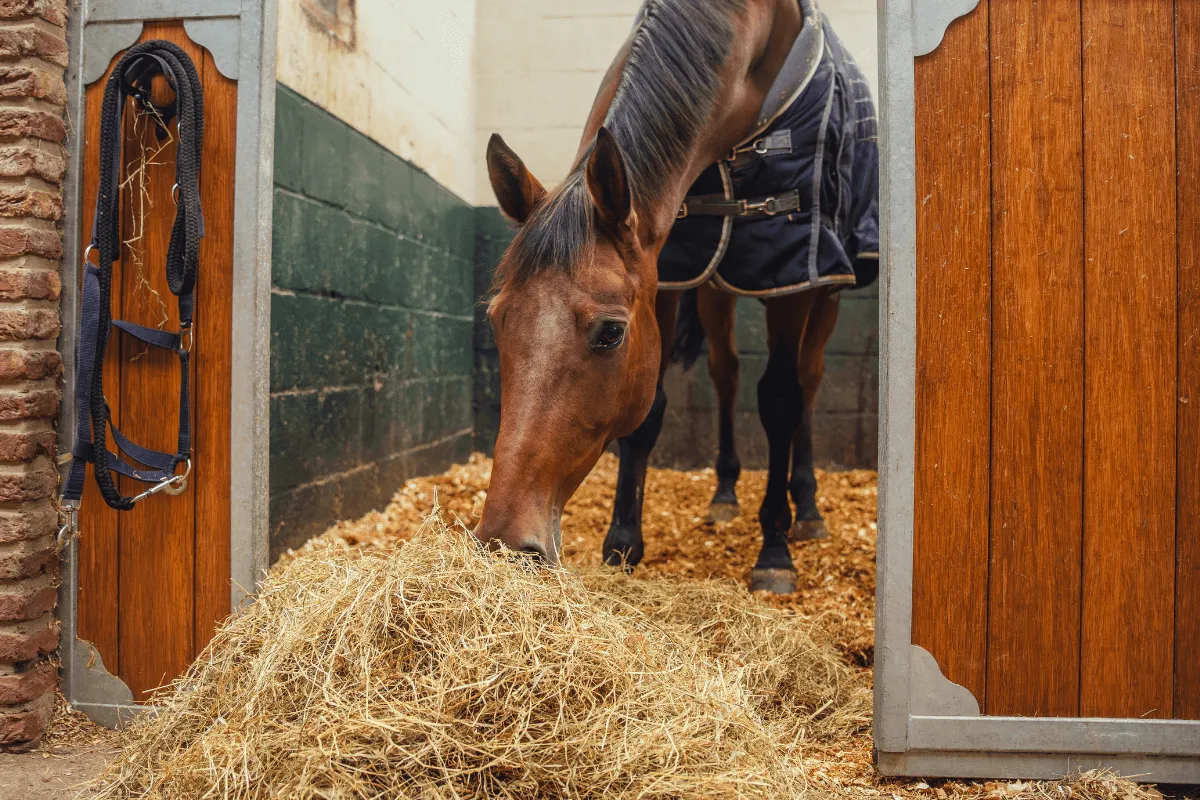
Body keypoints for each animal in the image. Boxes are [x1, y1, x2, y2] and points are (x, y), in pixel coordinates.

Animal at [474, 0, 878, 594]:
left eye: (610, 332)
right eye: (498, 321)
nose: (505, 544)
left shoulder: (789, 267)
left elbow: (779, 399)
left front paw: (774, 554)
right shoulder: (669, 272)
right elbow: (651, 411)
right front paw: (622, 545)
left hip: (826, 287)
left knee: (806, 378)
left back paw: (806, 509)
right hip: (714, 289)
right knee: (726, 372)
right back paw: (725, 495)